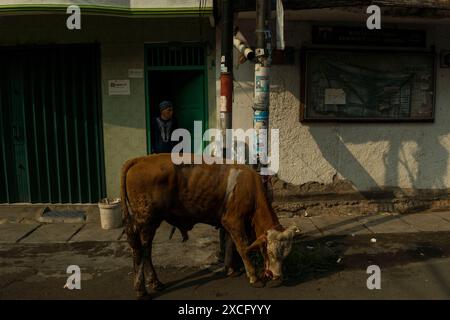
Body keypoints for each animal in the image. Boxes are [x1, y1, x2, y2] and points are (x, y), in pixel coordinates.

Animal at [119, 153, 298, 298]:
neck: (250, 189)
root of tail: (141, 159)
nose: (277, 275)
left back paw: (155, 282)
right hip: (145, 219)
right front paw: (253, 277)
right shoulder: (233, 220)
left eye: (286, 254)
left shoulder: (228, 222)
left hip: (152, 221)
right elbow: (243, 247)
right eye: (270, 252)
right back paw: (141, 289)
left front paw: (231, 269)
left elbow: (230, 245)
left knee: (146, 248)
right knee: (140, 250)